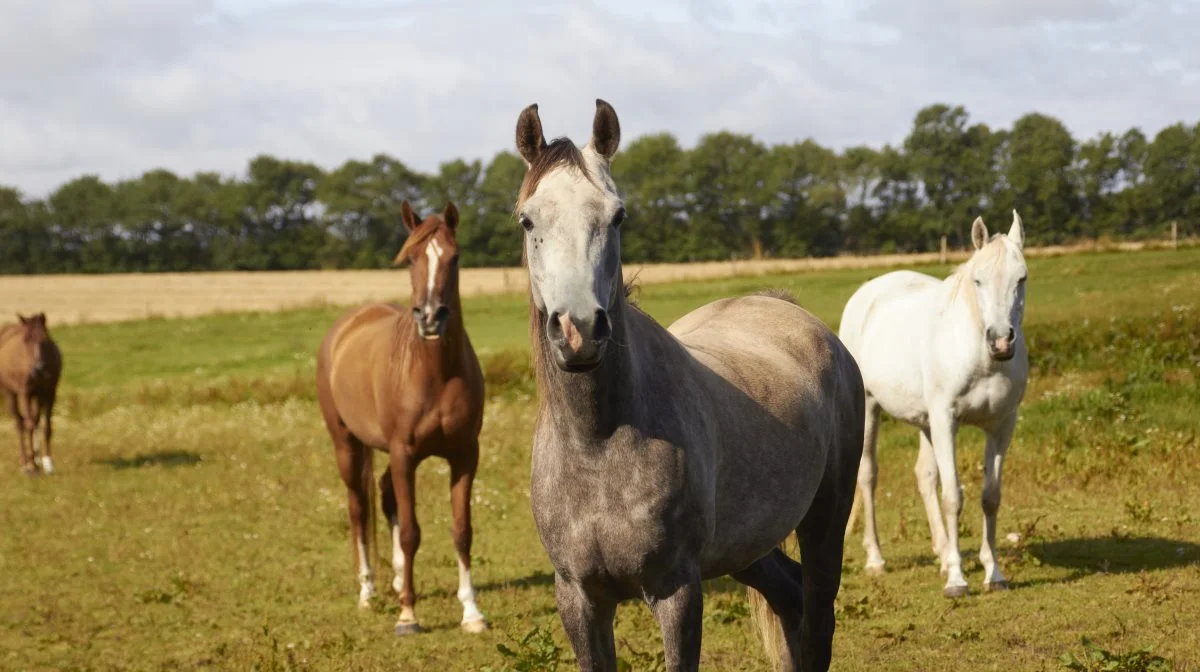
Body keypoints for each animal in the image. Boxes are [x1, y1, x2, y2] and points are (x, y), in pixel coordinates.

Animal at [0, 312, 62, 475]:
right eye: (25, 340)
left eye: (45, 339)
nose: (38, 369)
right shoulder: (25, 393)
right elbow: (29, 425)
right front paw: (32, 466)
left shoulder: (50, 392)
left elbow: (47, 427)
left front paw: (48, 463)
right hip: (11, 395)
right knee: (21, 423)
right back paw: (25, 462)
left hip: (38, 396)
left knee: (35, 420)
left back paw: (37, 458)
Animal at [319, 198, 492, 633]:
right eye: (410, 258)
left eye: (454, 257)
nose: (430, 317)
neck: (435, 373)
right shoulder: (404, 454)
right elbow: (412, 531)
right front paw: (408, 615)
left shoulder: (465, 455)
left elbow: (462, 530)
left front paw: (472, 612)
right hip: (347, 445)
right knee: (358, 510)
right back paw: (368, 592)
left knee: (382, 493)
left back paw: (397, 578)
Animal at [511, 99, 868, 672]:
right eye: (528, 219)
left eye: (617, 215)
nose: (580, 330)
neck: (598, 444)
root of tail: (791, 310)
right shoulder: (579, 598)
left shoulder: (678, 591)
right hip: (748, 547)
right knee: (789, 600)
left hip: (825, 520)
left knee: (817, 619)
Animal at [840, 212, 1027, 595]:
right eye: (978, 280)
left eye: (1022, 278)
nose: (1001, 341)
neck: (982, 360)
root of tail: (868, 292)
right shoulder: (946, 420)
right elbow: (953, 496)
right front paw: (957, 580)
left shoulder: (1001, 425)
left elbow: (990, 497)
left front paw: (994, 574)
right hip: (871, 410)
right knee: (868, 476)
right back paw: (876, 559)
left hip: (925, 423)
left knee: (925, 477)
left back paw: (941, 553)